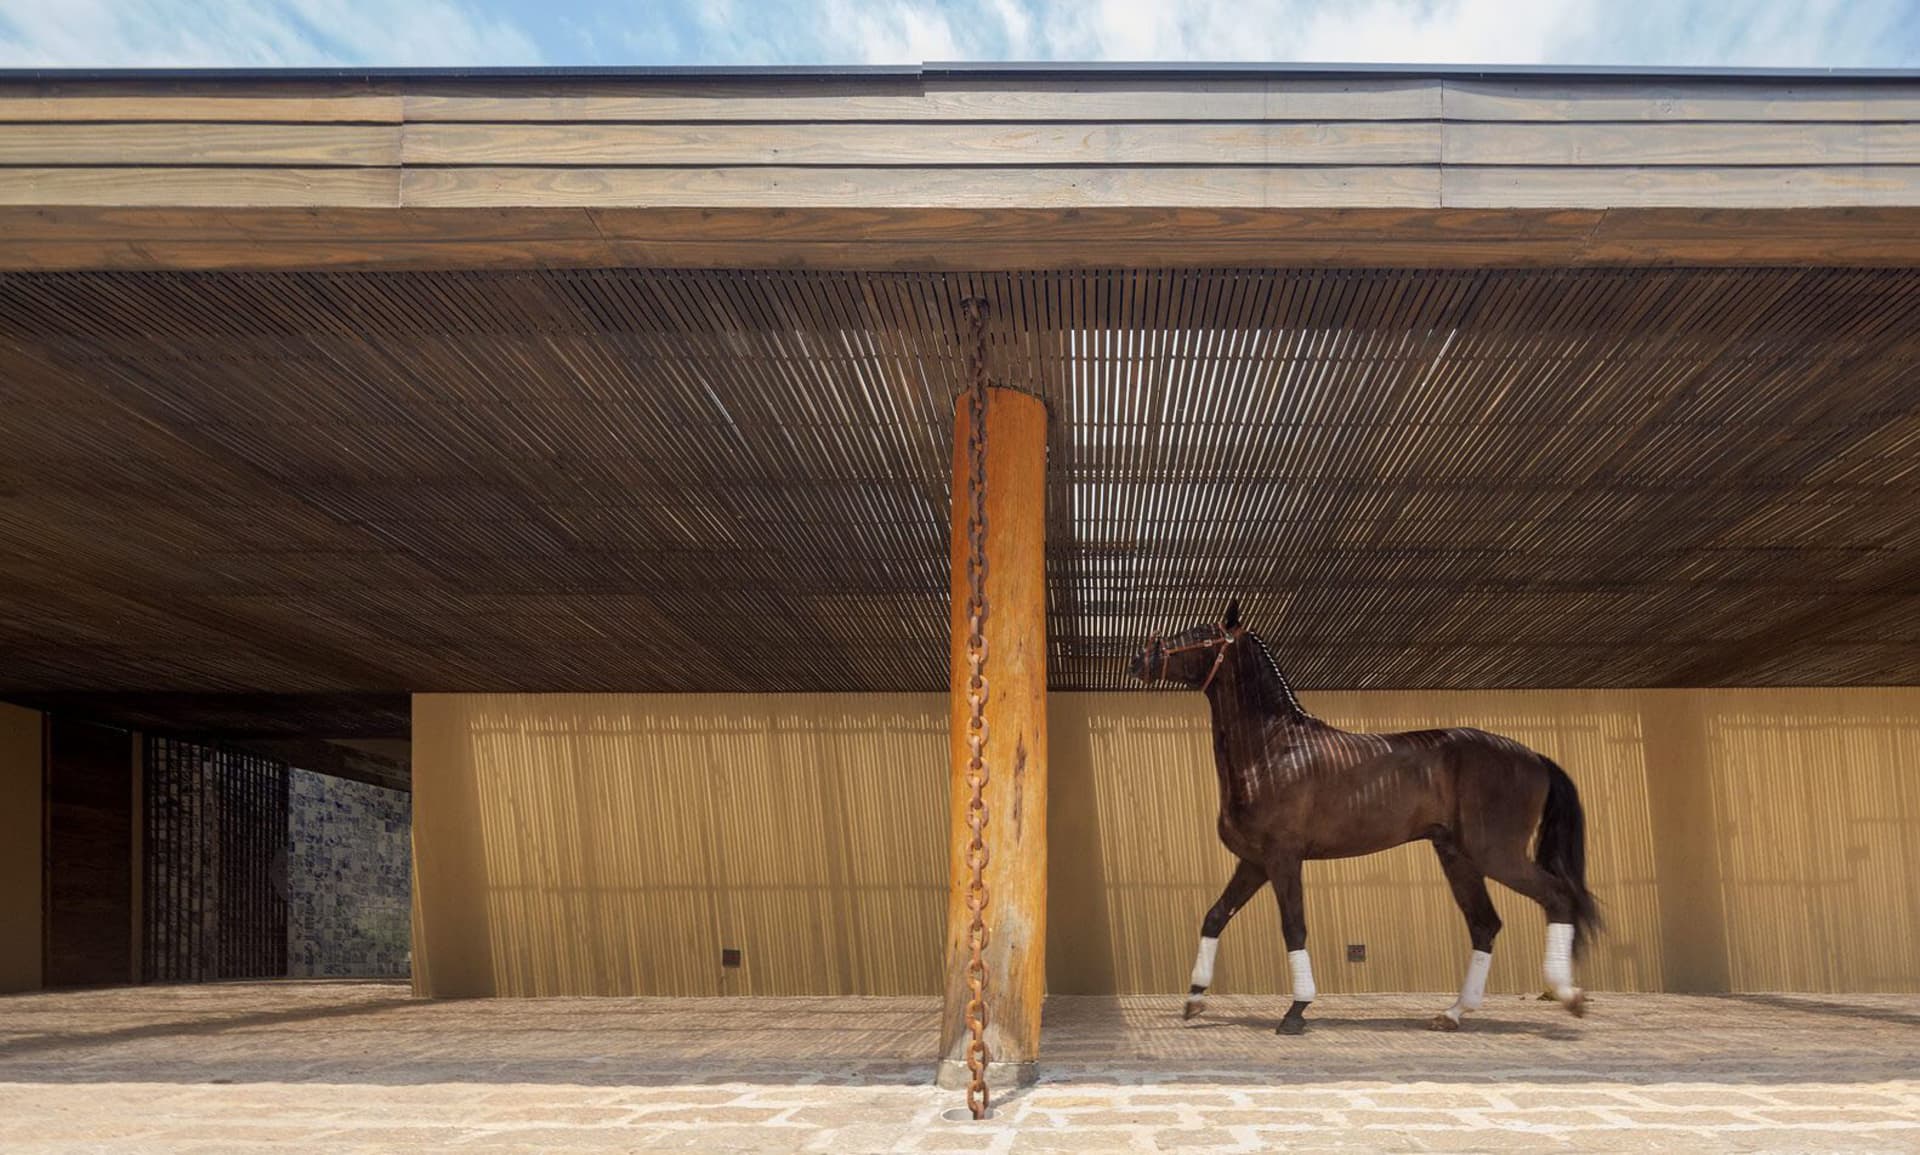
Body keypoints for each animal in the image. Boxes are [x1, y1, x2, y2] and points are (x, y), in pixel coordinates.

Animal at [1131, 600, 1600, 1035]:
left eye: (1202, 634)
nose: (1140, 657)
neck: (1274, 750)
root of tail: (1533, 756)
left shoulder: (1283, 858)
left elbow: (1293, 927)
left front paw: (1296, 1011)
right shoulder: (1254, 862)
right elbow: (1215, 915)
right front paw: (1194, 999)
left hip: (1495, 853)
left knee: (1557, 897)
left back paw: (1569, 995)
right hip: (1458, 857)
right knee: (1485, 924)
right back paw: (1452, 1014)